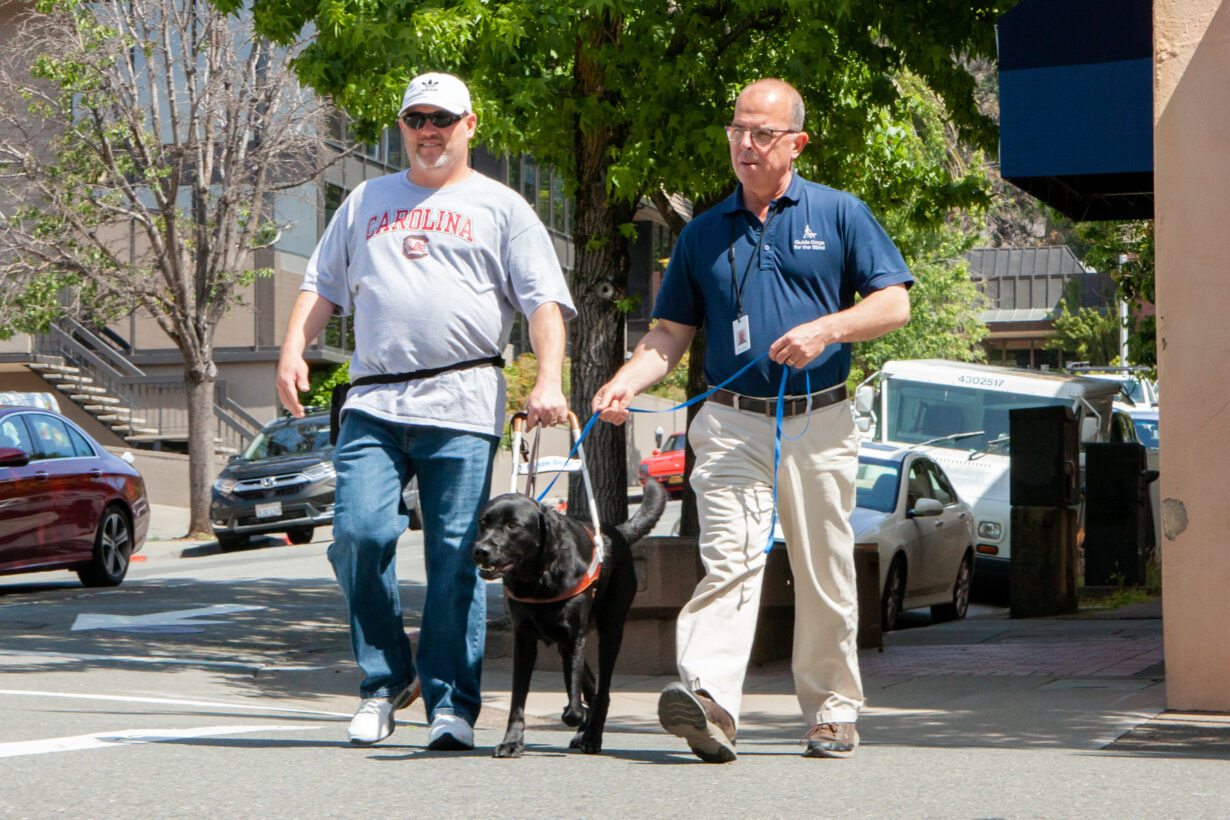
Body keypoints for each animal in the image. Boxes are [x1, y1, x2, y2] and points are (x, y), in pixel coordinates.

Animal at [469, 477, 664, 762]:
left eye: (513, 525)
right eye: (483, 522)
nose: (480, 550)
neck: (537, 577)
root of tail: (615, 532)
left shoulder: (573, 637)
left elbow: (573, 705)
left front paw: (575, 716)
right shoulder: (525, 640)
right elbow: (518, 699)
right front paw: (511, 742)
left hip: (610, 630)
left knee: (602, 691)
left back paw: (592, 736)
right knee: (592, 686)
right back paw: (586, 730)